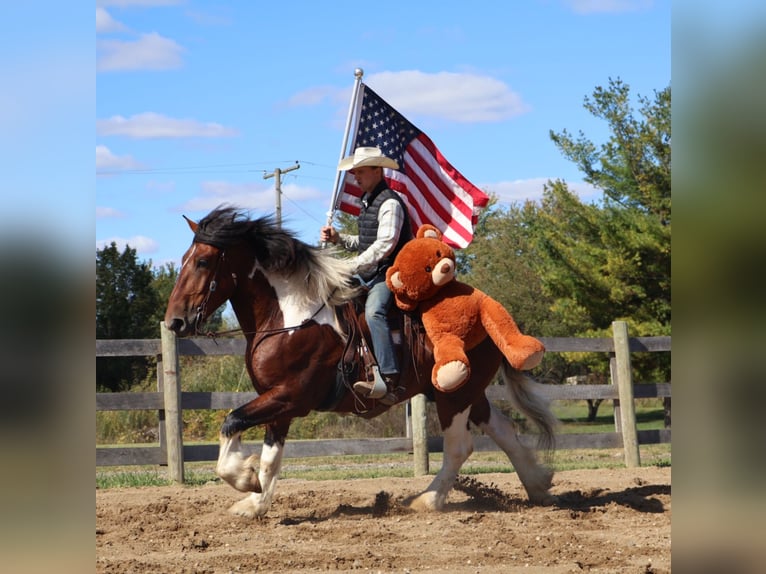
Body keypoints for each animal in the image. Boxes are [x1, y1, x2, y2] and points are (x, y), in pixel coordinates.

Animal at [164, 206, 557, 518]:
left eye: (202, 261)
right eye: (183, 260)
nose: (175, 322)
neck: (291, 317)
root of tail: (488, 307)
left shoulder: (290, 396)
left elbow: (232, 422)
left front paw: (245, 480)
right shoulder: (279, 403)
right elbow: (270, 456)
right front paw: (255, 503)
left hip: (454, 394)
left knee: (460, 446)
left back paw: (427, 500)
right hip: (462, 392)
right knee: (504, 431)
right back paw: (539, 486)